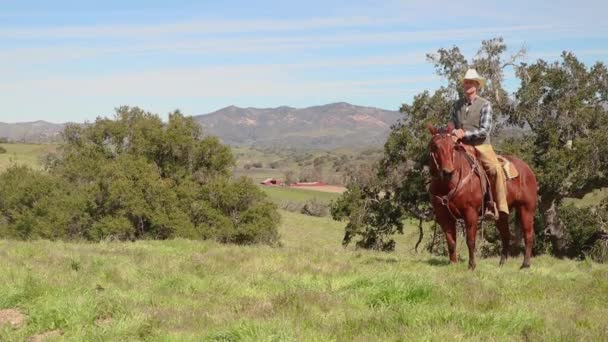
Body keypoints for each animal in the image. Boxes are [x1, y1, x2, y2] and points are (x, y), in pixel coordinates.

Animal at [428, 123, 536, 270]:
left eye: (453, 147)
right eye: (434, 146)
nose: (447, 172)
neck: (449, 184)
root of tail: (527, 169)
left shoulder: (471, 213)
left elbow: (470, 240)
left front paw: (471, 266)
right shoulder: (444, 216)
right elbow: (451, 241)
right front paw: (453, 264)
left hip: (526, 209)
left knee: (528, 235)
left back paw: (525, 264)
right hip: (501, 214)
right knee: (506, 236)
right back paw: (502, 263)